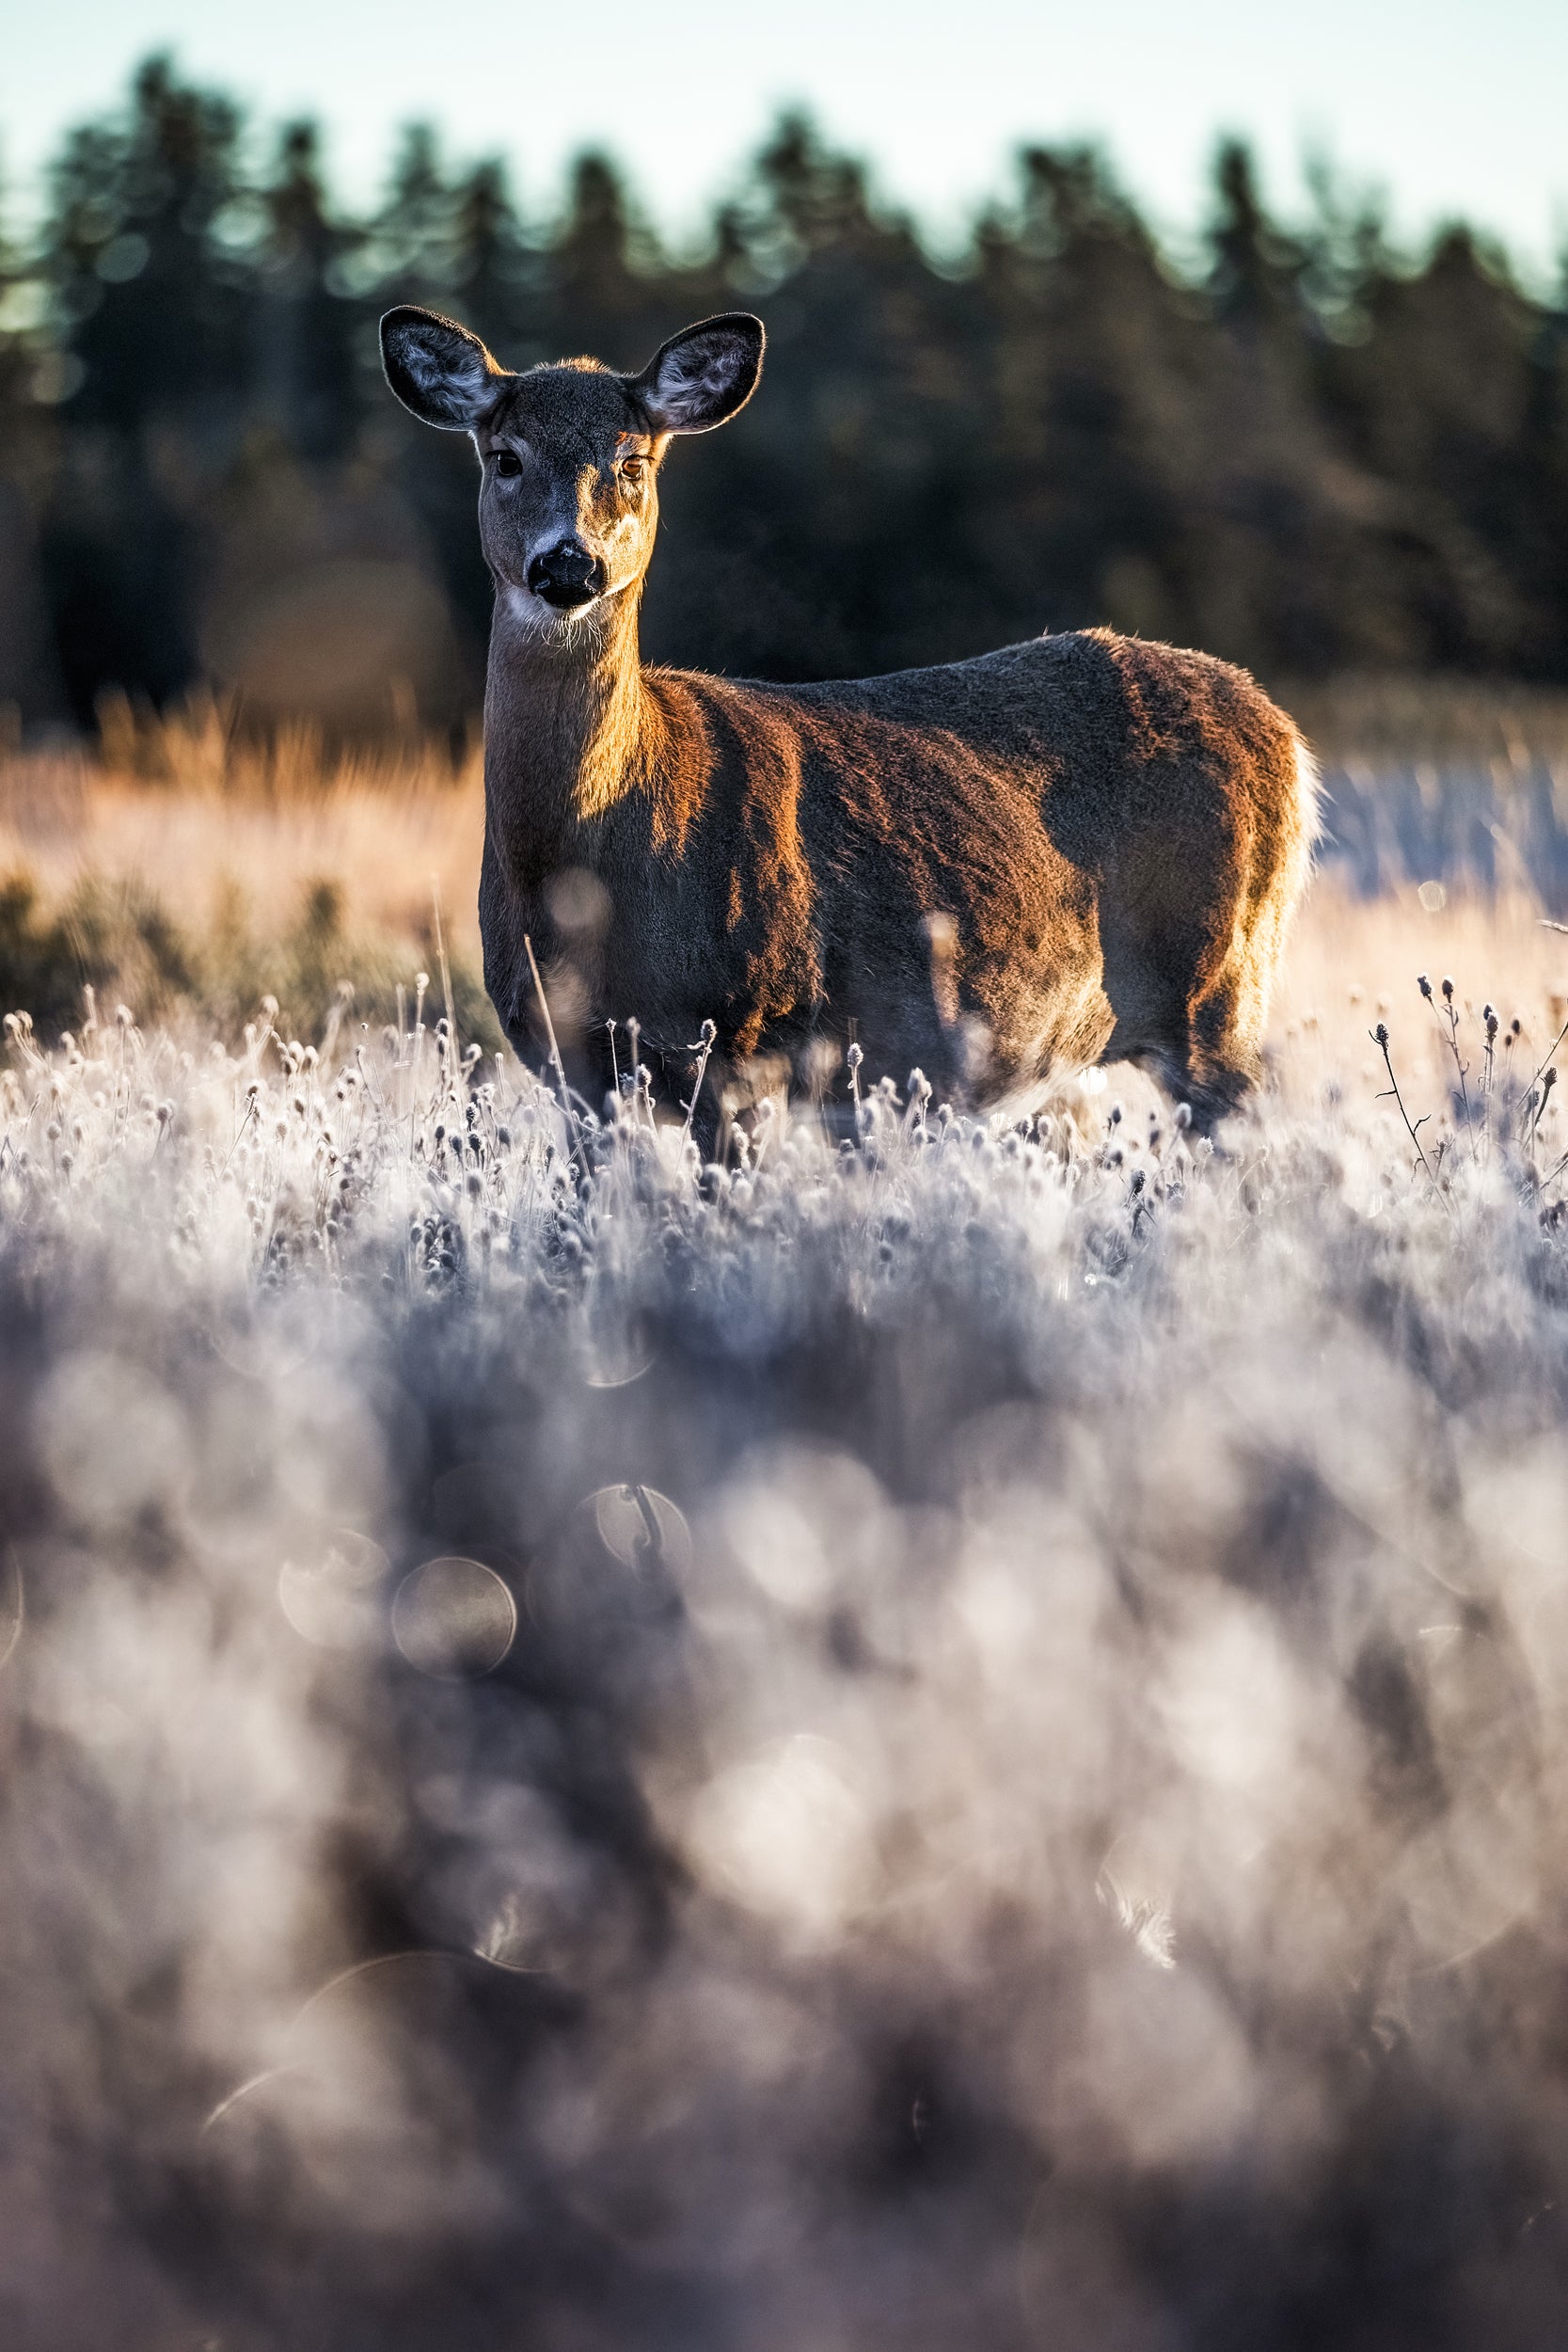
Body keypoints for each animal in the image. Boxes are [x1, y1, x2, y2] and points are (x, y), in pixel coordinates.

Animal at [380, 304, 1317, 1145]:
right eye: (504, 457)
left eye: (632, 461)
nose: (569, 566)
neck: (590, 865)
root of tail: (1287, 736)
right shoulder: (571, 1069)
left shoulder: (744, 1041)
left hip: (1223, 990)